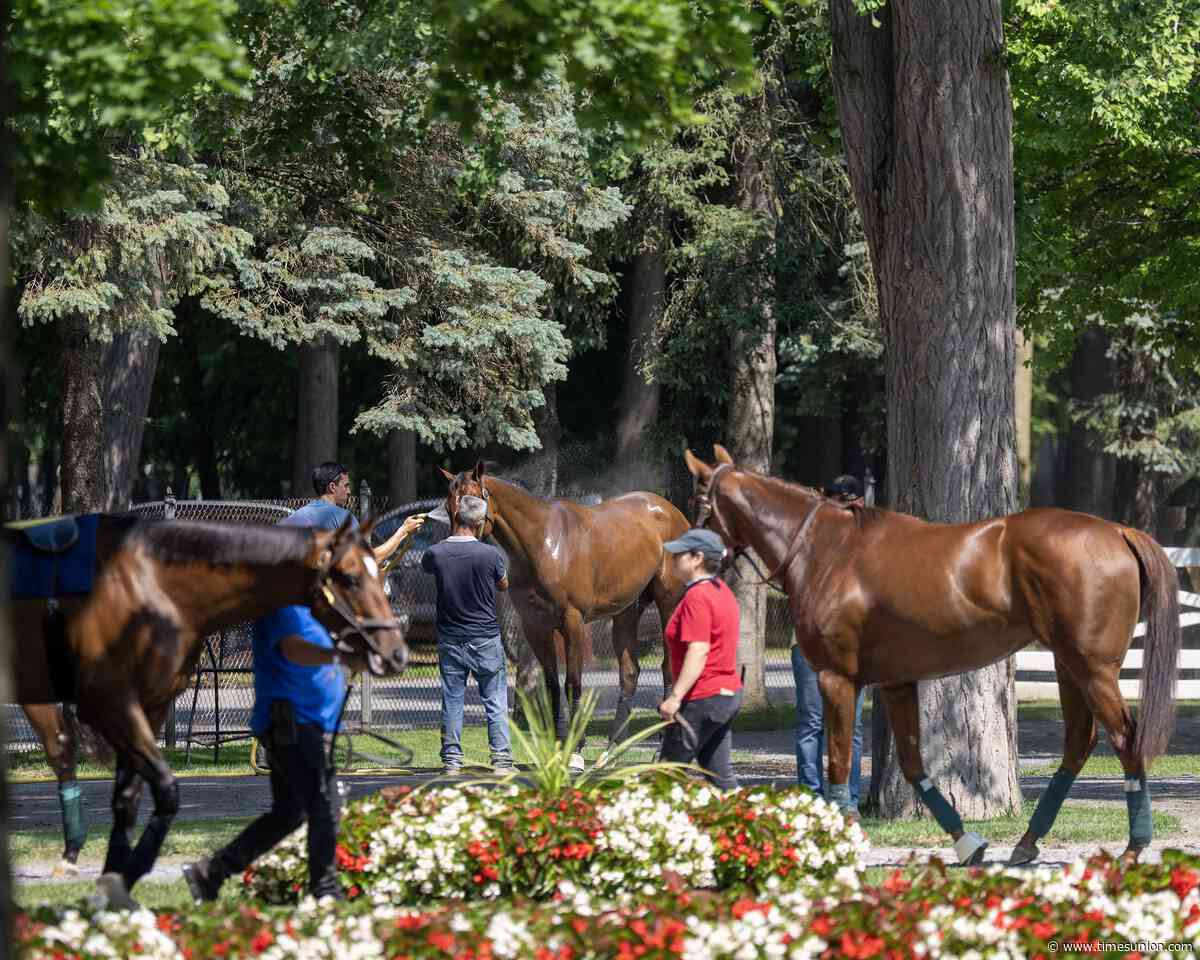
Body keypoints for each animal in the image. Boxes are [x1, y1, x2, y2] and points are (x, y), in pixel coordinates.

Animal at [7, 512, 408, 904]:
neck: (150, 585)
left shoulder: (150, 706)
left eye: (378, 573)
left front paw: (114, 889)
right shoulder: (108, 702)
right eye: (350, 578)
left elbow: (127, 800)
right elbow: (166, 791)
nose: (396, 652)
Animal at [438, 463, 689, 765]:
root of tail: (671, 511)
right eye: (448, 506)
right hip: (628, 610)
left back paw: (661, 751)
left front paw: (576, 750)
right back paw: (611, 750)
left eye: (473, 502)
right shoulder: (535, 626)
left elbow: (573, 683)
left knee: (669, 668)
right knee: (629, 672)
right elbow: (551, 685)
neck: (541, 544)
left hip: (669, 603)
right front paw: (559, 747)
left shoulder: (573, 623)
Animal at [684, 444, 1180, 867]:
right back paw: (1028, 841)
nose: (690, 557)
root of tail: (1116, 530)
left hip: (1092, 668)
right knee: (1080, 741)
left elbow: (840, 760)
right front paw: (965, 842)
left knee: (1125, 739)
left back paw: (1134, 847)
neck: (828, 550)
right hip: (1067, 665)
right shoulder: (896, 683)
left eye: (699, 500)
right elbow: (912, 765)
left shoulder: (836, 678)